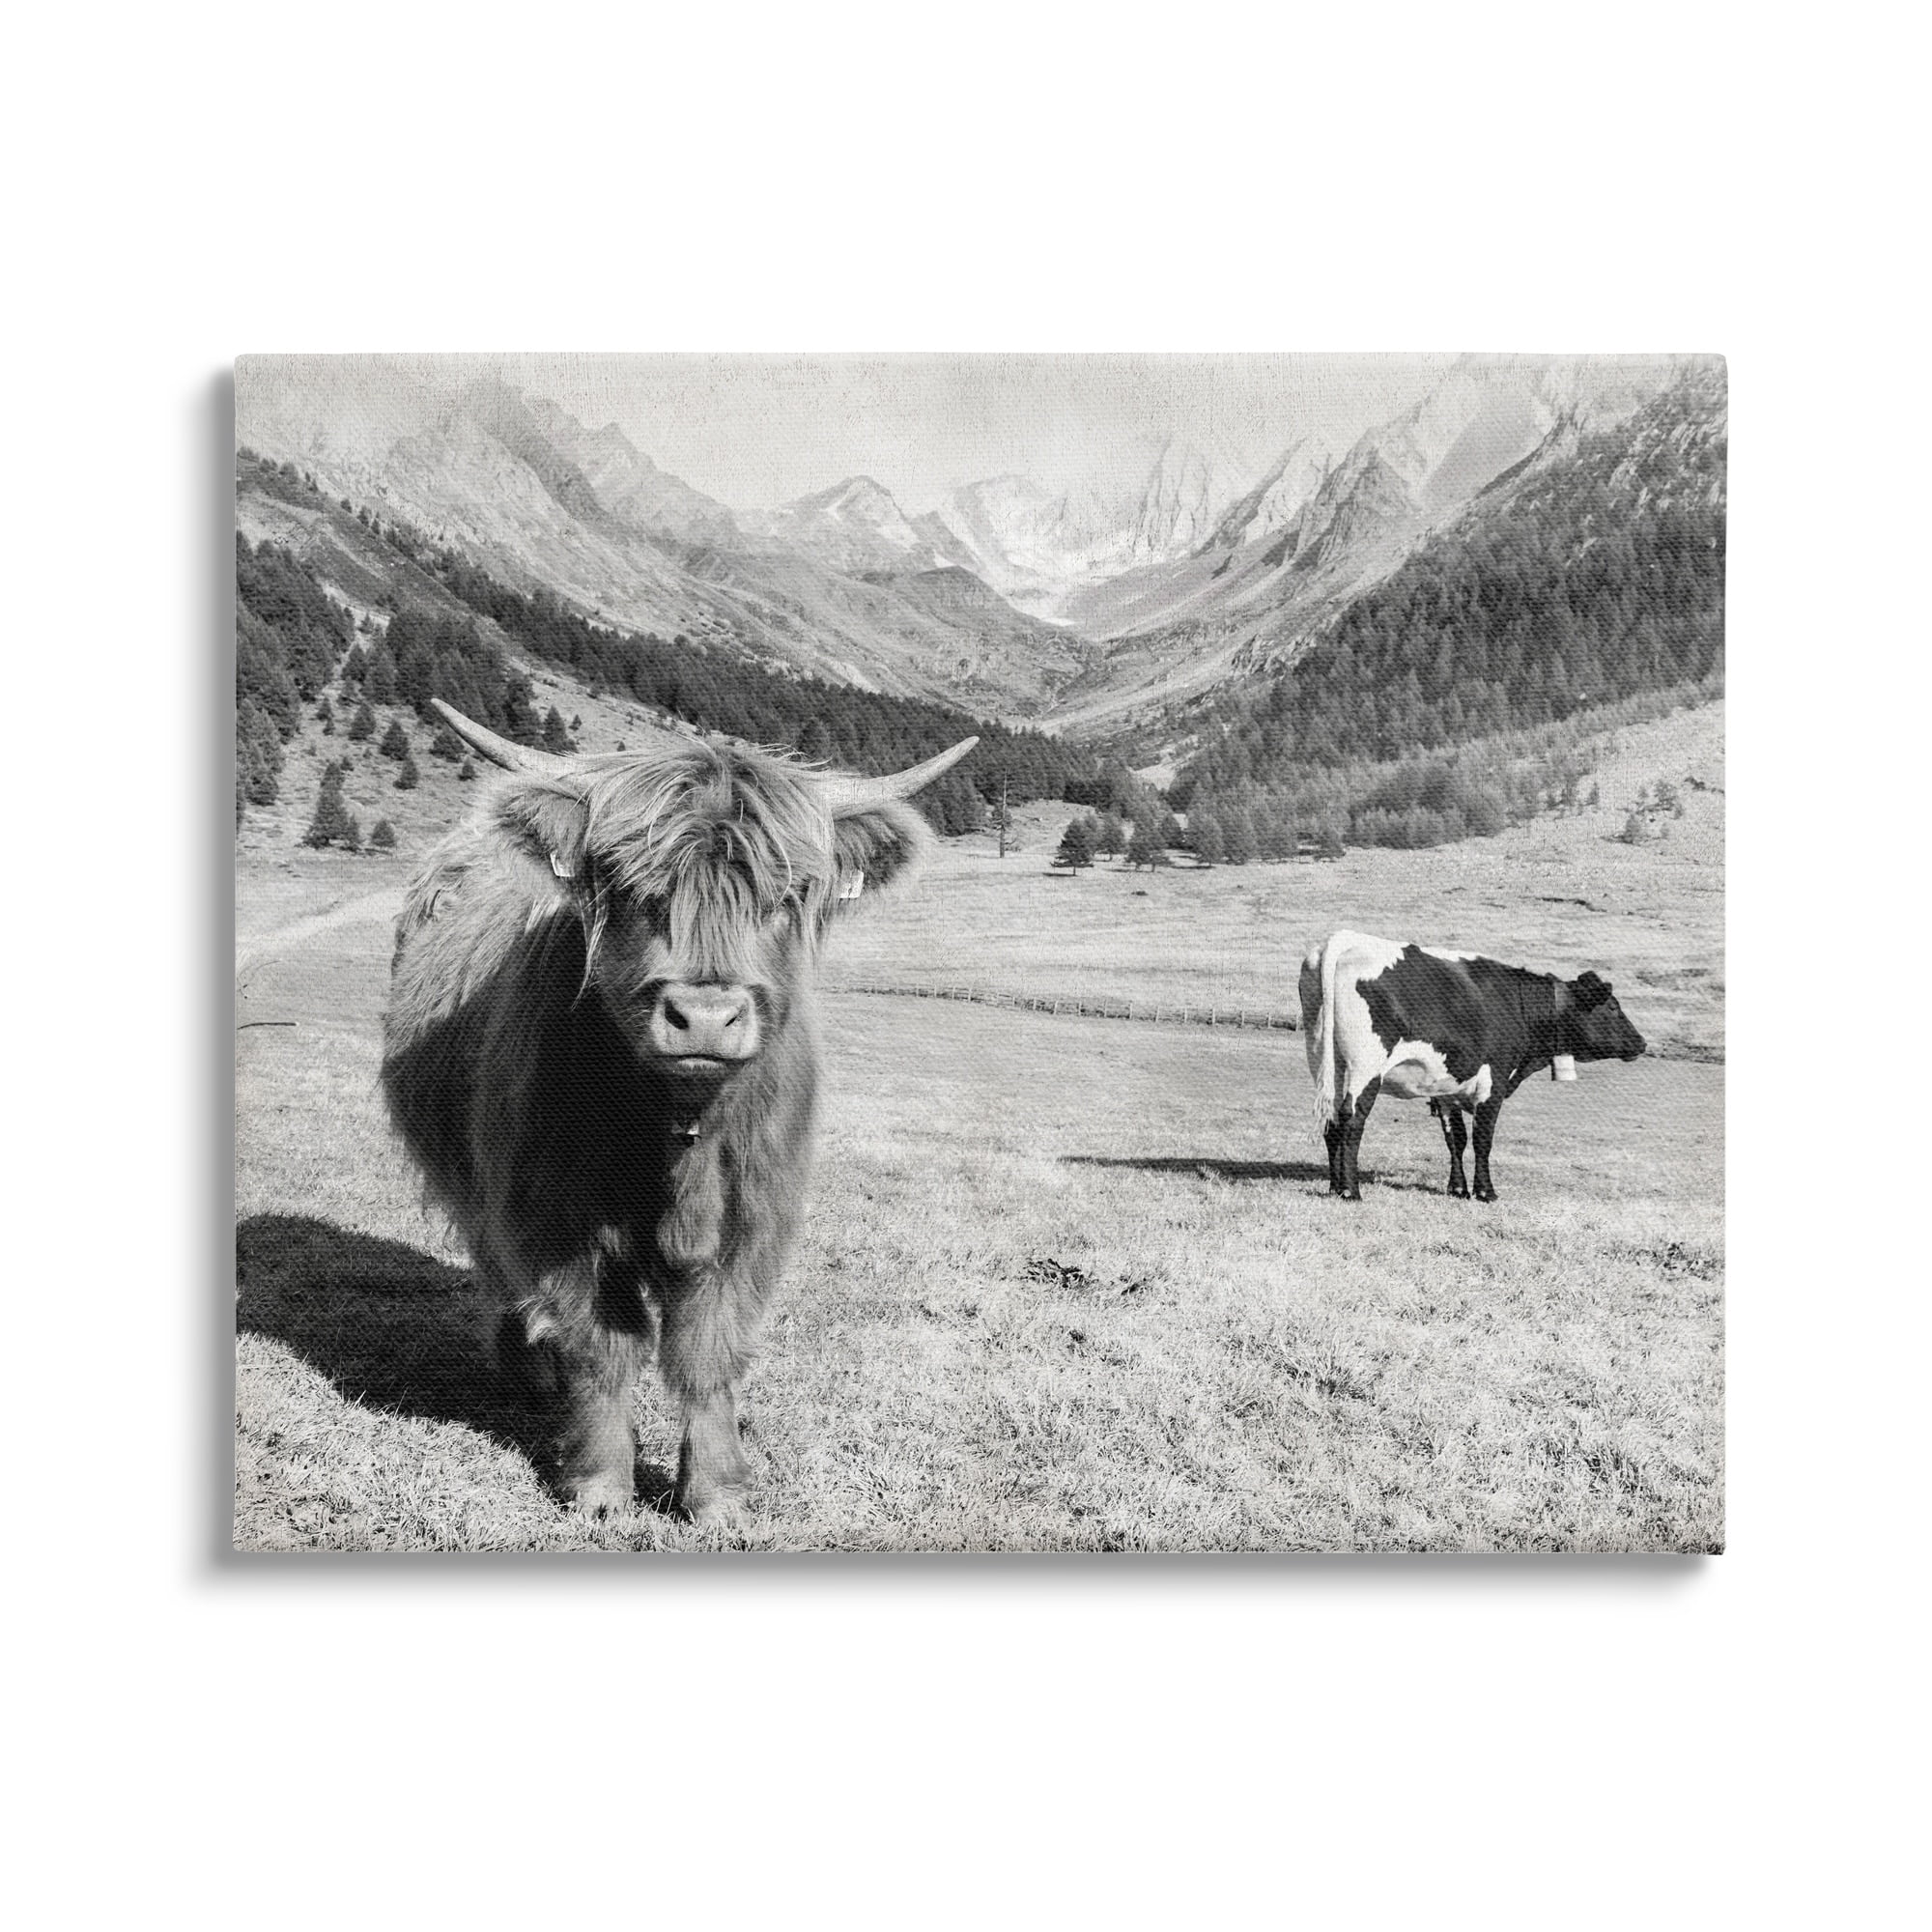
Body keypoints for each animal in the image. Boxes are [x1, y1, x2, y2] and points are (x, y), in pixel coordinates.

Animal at [380, 699, 976, 1522]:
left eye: (785, 893)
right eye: (632, 886)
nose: (704, 1016)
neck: (680, 1126)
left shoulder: (753, 1216)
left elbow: (707, 1351)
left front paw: (718, 1492)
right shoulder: (556, 1211)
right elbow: (604, 1345)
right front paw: (600, 1485)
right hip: (476, 1181)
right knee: (498, 1266)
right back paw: (530, 1373)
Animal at [1298, 929, 1646, 1203]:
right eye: (1613, 1007)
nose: (1641, 1043)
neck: (1518, 1005)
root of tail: (1345, 939)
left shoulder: (1447, 1087)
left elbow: (1456, 1138)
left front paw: (1457, 1188)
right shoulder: (1494, 1081)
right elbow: (1482, 1138)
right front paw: (1485, 1191)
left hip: (1324, 1060)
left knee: (1331, 1119)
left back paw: (1334, 1187)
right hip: (1367, 1066)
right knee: (1352, 1117)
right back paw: (1351, 1191)